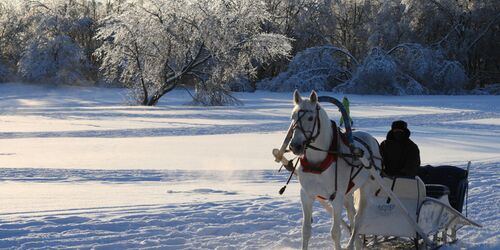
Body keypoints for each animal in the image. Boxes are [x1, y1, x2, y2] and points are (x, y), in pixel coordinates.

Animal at [290, 90, 382, 250]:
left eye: (310, 118)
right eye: (293, 116)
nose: (295, 146)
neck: (317, 165)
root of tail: (371, 139)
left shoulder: (336, 198)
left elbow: (335, 232)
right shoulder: (306, 196)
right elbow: (306, 230)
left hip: (366, 187)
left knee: (358, 219)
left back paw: (351, 244)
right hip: (349, 193)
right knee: (352, 215)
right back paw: (357, 244)